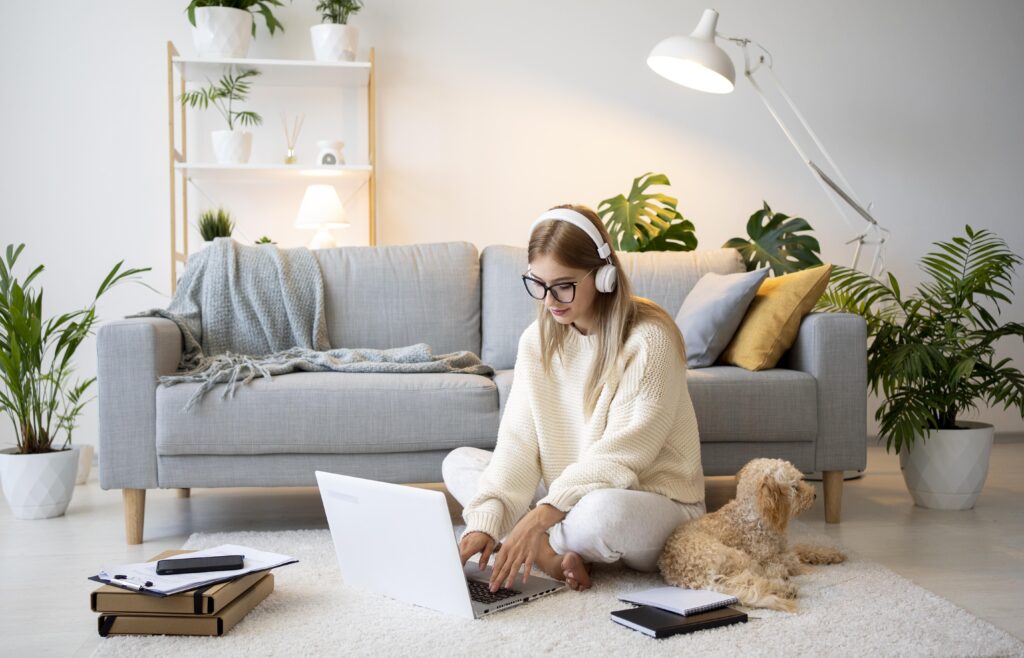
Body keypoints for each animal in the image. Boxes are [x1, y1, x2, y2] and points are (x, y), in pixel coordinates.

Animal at [655, 458, 847, 613]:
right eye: (795, 487)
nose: (814, 495)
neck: (754, 515)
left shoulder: (783, 548)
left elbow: (805, 548)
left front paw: (831, 554)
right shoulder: (769, 556)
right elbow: (794, 561)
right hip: (737, 557)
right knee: (749, 581)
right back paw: (783, 587)